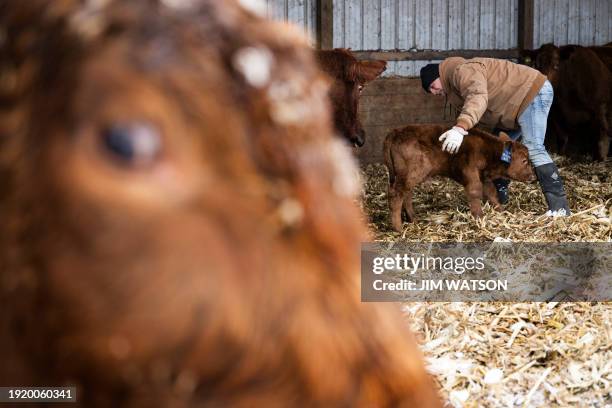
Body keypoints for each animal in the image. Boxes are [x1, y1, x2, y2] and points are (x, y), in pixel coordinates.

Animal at [384, 124, 532, 231]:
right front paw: (479, 217)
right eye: (524, 160)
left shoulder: (483, 177)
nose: (532, 176)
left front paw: (501, 211)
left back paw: (412, 219)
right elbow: (475, 192)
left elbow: (491, 193)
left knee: (406, 194)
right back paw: (398, 227)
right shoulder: (470, 171)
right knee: (396, 194)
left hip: (408, 175)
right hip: (412, 172)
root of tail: (396, 131)